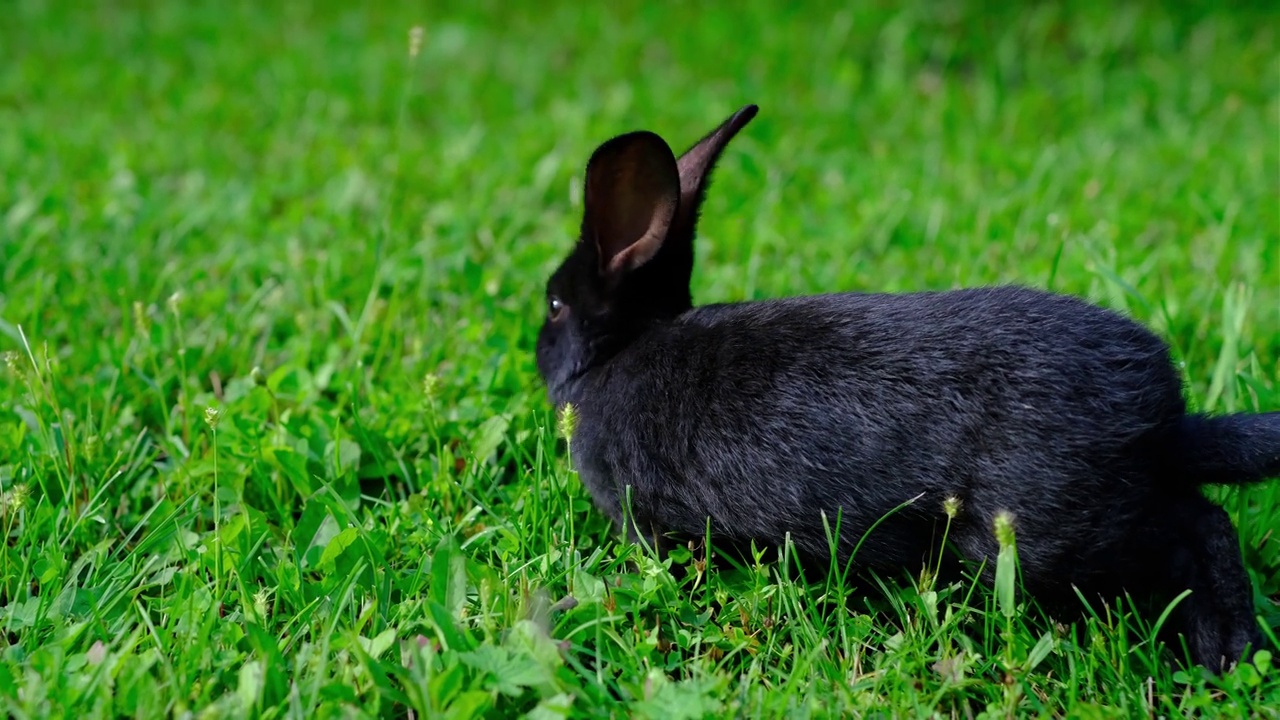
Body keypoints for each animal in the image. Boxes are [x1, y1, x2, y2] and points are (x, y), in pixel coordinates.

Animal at [535, 105, 1280, 666]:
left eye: (554, 305)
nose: (538, 347)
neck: (618, 351)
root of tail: (1167, 425)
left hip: (1053, 536)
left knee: (1197, 529)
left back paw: (1224, 650)